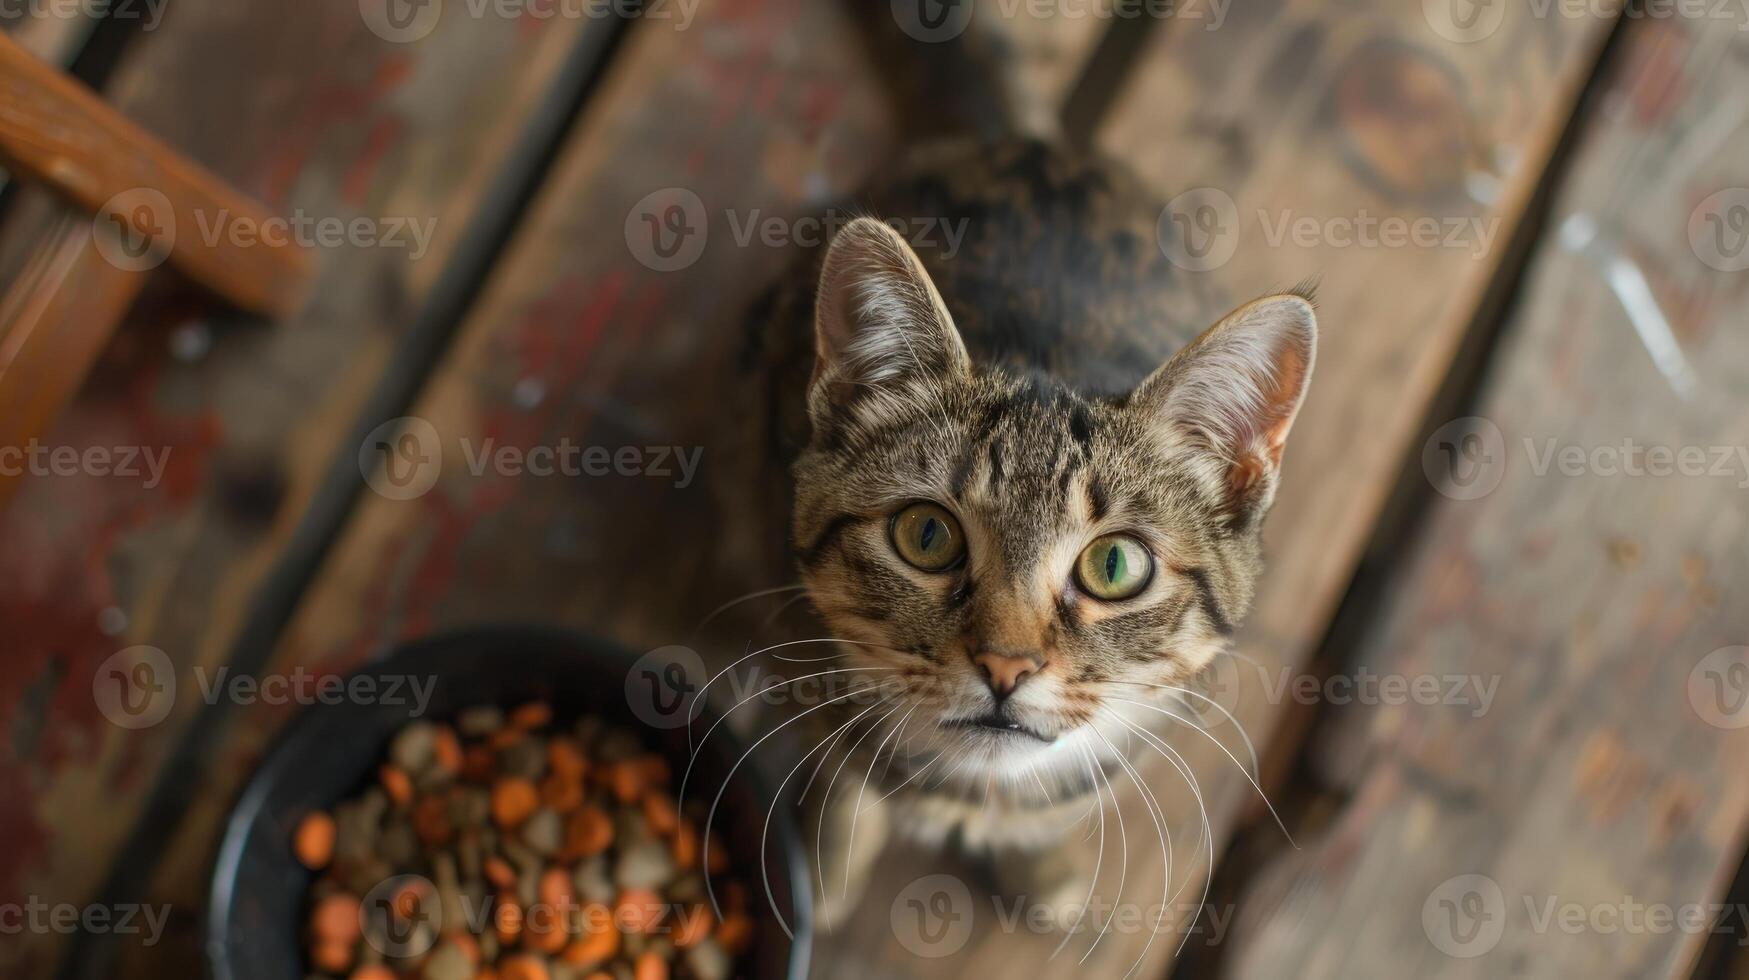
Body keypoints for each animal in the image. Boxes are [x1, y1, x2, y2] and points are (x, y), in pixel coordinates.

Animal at [748, 138, 1315, 924]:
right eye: (926, 536)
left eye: (1115, 566)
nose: (1005, 667)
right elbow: (844, 779)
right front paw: (828, 872)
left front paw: (1040, 866)